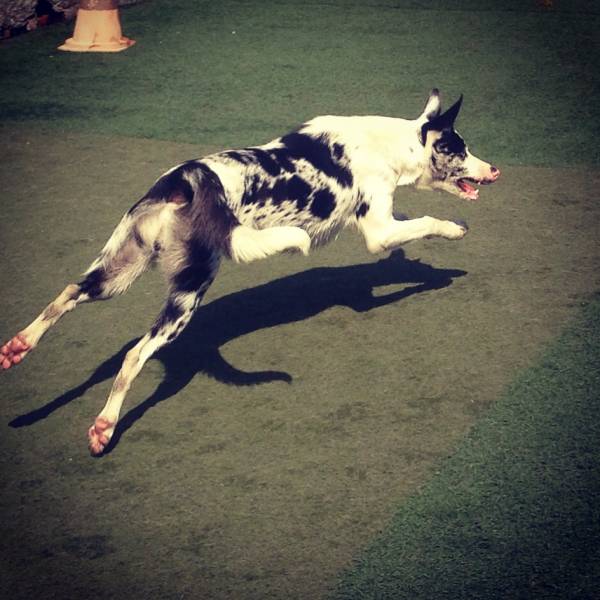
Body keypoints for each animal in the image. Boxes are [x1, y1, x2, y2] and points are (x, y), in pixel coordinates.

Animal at [1, 90, 502, 454]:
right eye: (460, 149)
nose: (495, 169)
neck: (391, 145)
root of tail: (185, 179)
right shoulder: (379, 230)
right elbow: (428, 224)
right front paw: (453, 235)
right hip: (186, 296)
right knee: (132, 356)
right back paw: (104, 426)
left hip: (119, 273)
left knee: (68, 295)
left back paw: (18, 348)